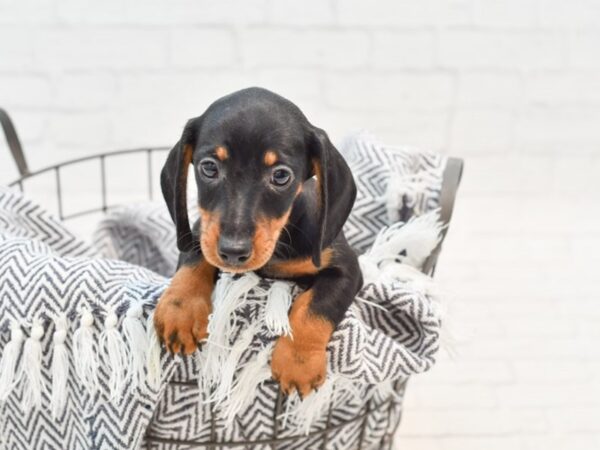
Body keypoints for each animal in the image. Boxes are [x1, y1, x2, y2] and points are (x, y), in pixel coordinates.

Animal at [154, 88, 360, 398]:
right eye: (209, 167)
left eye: (281, 175)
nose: (232, 251)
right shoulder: (202, 232)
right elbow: (194, 259)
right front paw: (181, 308)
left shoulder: (346, 269)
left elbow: (316, 305)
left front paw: (298, 359)